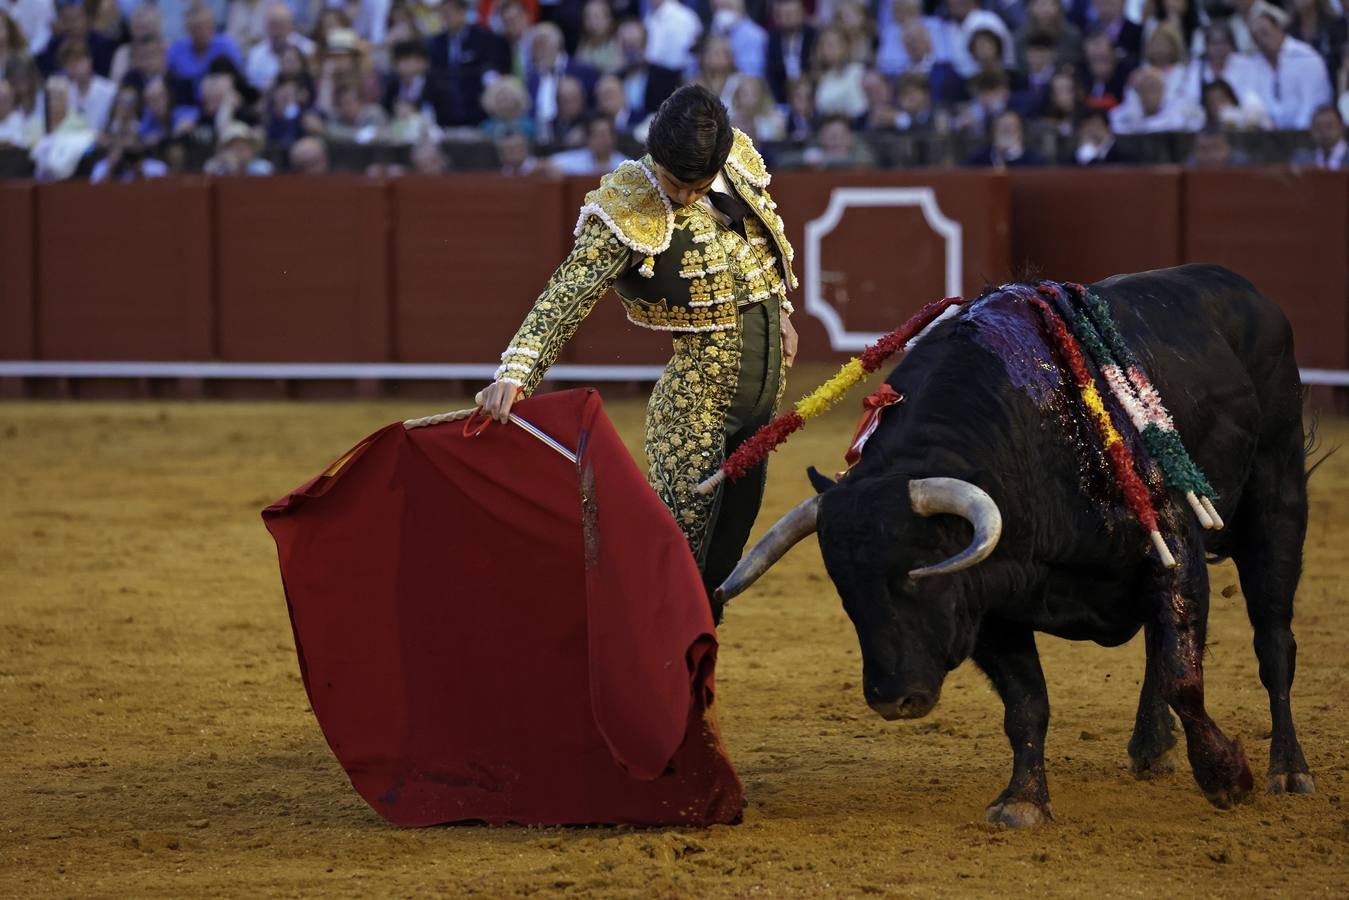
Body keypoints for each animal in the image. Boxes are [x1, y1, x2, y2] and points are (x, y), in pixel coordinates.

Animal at [723, 264, 1311, 825]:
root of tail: (1249, 293)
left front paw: (1227, 778)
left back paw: (1289, 771)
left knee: (1273, 641)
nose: (892, 700)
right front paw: (1023, 801)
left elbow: (1183, 678)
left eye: (917, 575)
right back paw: (1150, 747)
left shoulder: (1172, 549)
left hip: (1278, 492)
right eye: (845, 594)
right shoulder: (987, 602)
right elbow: (1027, 703)